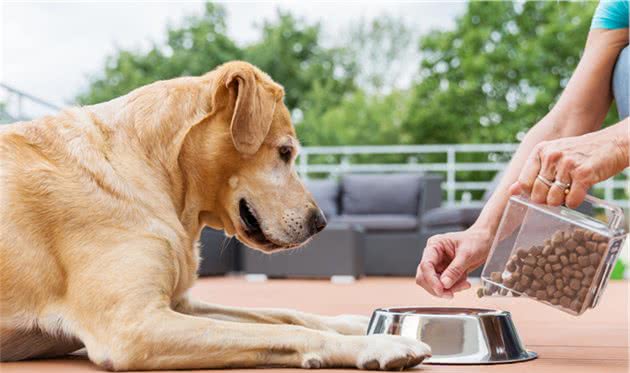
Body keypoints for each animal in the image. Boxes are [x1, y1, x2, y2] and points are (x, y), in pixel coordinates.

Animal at [0, 61, 430, 370]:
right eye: (285, 152)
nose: (320, 222)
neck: (155, 170)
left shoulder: (180, 305)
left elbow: (285, 315)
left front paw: (356, 323)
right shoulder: (133, 326)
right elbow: (289, 331)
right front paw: (376, 342)